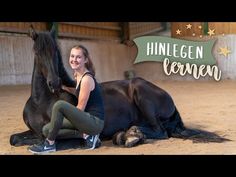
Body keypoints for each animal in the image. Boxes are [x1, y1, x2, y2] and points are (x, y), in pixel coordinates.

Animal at [9, 25, 229, 149]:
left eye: (56, 50)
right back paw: (129, 135)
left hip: (141, 93)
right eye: (37, 52)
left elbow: (45, 139)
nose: (54, 83)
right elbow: (14, 138)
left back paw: (129, 136)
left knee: (160, 131)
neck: (41, 101)